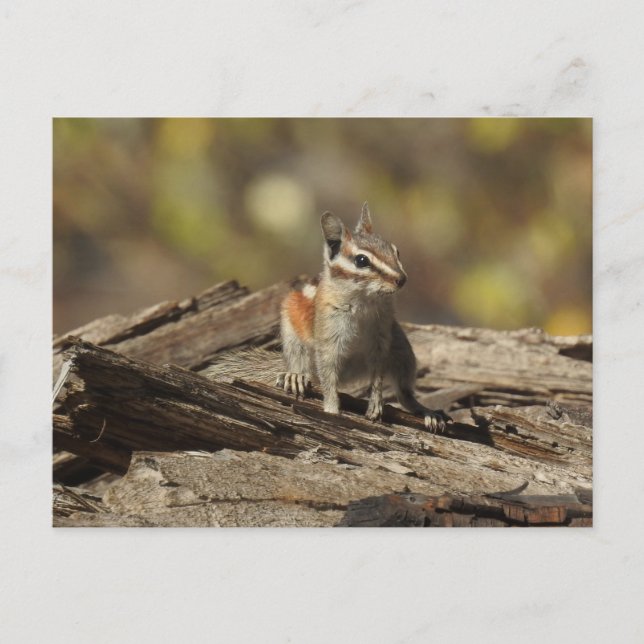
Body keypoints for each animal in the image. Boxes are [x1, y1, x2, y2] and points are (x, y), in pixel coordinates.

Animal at [276, 202, 451, 432]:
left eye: (396, 251)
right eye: (361, 260)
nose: (401, 279)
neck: (363, 301)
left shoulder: (381, 338)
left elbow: (377, 375)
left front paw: (375, 403)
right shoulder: (330, 338)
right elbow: (328, 375)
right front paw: (331, 409)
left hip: (402, 348)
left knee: (404, 395)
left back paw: (427, 412)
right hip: (293, 335)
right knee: (304, 366)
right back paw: (295, 376)